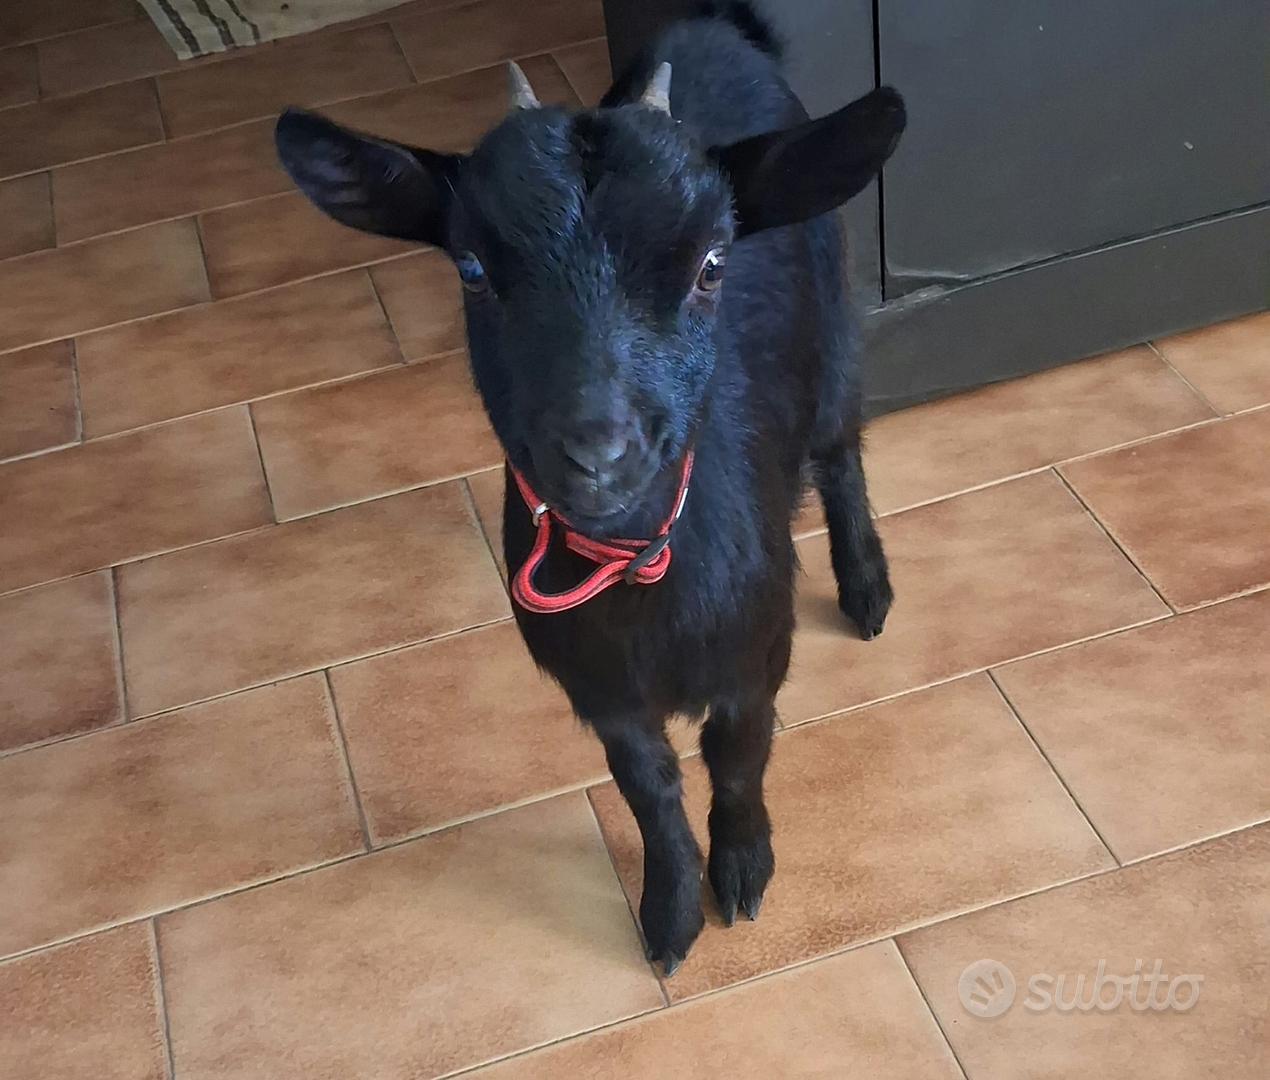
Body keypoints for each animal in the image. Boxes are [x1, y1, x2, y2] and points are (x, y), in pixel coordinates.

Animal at [275, 1, 904, 975]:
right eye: (472, 269)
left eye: (713, 263)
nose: (600, 452)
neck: (641, 576)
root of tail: (713, 28)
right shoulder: (599, 692)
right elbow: (647, 787)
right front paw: (671, 915)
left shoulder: (756, 650)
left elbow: (737, 753)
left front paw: (744, 869)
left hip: (834, 322)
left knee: (839, 447)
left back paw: (868, 587)